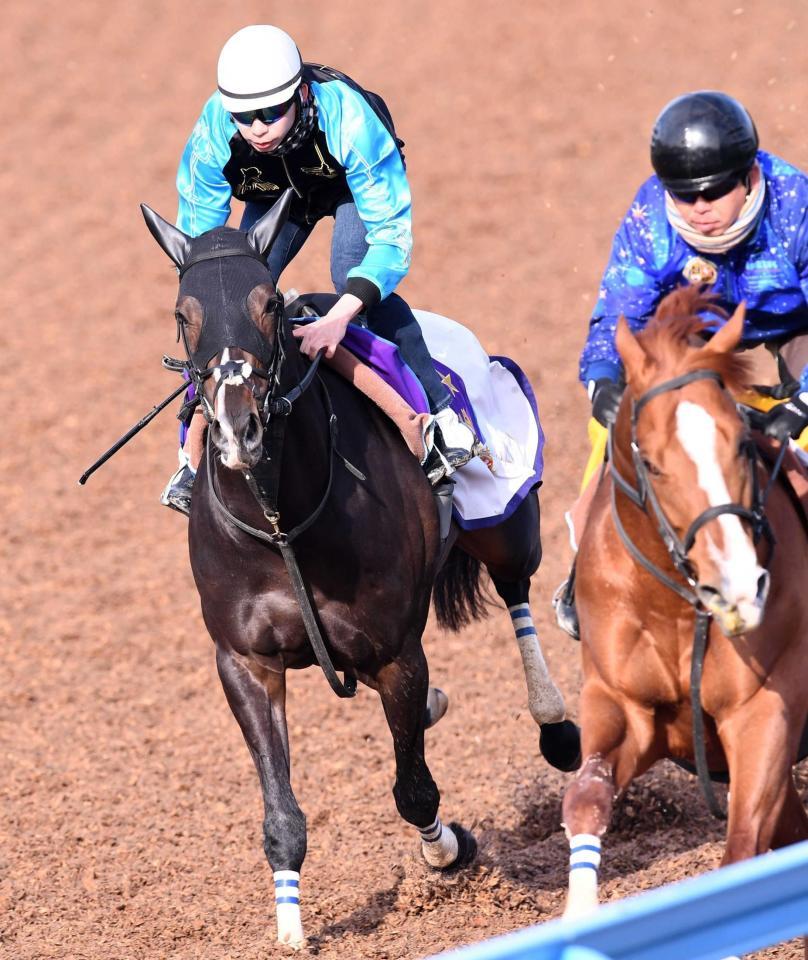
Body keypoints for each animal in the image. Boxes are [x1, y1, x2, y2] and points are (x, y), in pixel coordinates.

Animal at [560, 288, 808, 932]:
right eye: (652, 462)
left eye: (742, 443)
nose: (738, 588)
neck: (675, 607)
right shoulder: (623, 707)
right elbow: (587, 797)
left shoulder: (764, 710)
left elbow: (742, 846)